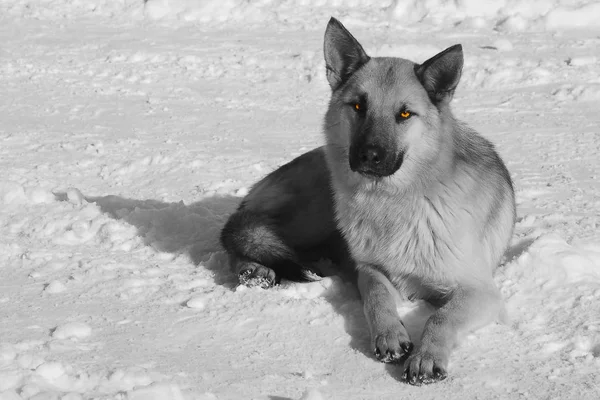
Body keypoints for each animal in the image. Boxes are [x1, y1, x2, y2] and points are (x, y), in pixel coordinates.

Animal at [220, 17, 516, 386]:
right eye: (359, 106)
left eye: (404, 114)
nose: (369, 156)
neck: (398, 200)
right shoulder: (370, 268)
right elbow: (375, 294)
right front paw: (389, 335)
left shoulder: (480, 291)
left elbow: (440, 317)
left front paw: (426, 357)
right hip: (318, 211)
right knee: (240, 236)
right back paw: (254, 269)